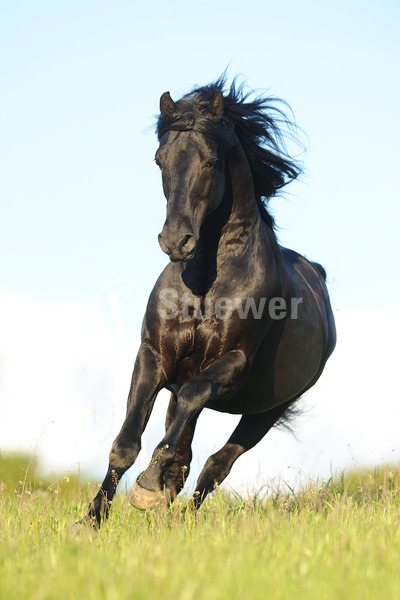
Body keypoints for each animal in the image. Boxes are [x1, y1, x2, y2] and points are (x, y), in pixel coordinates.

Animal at [83, 76, 334, 528]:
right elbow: (126, 444)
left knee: (215, 465)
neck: (204, 285)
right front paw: (91, 521)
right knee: (185, 453)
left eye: (212, 161)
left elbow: (190, 408)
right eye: (159, 159)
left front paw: (145, 488)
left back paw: (182, 514)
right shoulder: (154, 356)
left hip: (268, 411)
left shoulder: (233, 363)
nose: (175, 241)